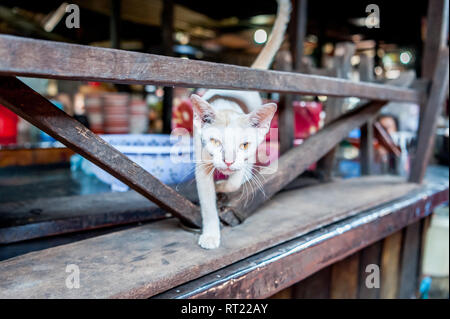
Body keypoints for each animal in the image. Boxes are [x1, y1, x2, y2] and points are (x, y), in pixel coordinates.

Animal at [191, 0, 292, 250]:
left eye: (244, 145)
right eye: (215, 141)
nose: (227, 161)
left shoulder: (248, 154)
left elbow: (235, 181)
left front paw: (225, 184)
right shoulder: (201, 161)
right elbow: (207, 202)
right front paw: (211, 234)